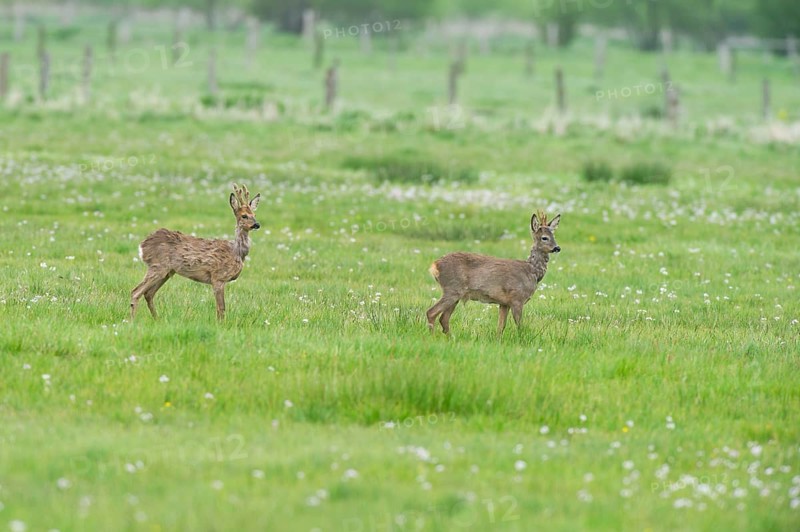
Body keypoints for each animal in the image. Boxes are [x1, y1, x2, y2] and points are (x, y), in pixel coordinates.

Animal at [130, 183, 262, 321]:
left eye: (254, 214)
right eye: (244, 215)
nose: (257, 224)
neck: (236, 252)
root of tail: (142, 245)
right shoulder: (218, 277)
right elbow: (221, 308)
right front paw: (220, 324)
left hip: (167, 271)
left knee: (148, 293)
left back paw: (157, 319)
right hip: (158, 266)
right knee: (135, 291)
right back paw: (132, 321)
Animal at [426, 211, 561, 335]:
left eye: (554, 235)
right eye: (544, 237)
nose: (557, 248)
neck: (532, 271)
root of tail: (435, 265)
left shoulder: (504, 303)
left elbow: (500, 327)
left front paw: (498, 341)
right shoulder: (517, 298)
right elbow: (519, 326)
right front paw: (522, 339)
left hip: (455, 293)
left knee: (443, 318)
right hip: (452, 289)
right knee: (431, 312)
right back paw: (433, 337)